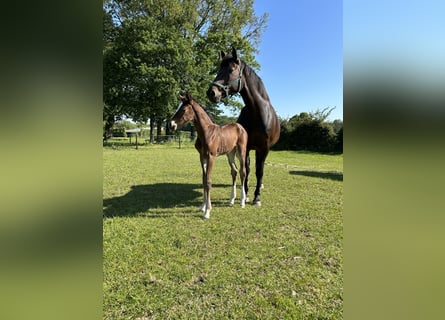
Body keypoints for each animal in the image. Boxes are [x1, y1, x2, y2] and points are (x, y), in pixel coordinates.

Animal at [168, 91, 248, 219]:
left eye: (184, 109)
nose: (171, 124)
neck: (207, 133)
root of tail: (240, 127)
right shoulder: (202, 157)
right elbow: (204, 180)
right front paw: (203, 206)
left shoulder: (211, 156)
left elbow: (209, 181)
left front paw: (207, 212)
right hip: (230, 153)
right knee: (234, 171)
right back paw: (231, 200)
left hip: (241, 151)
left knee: (243, 172)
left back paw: (242, 201)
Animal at [207, 48, 278, 206]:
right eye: (219, 69)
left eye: (231, 69)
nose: (211, 92)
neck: (257, 113)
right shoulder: (245, 147)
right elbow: (246, 169)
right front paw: (245, 195)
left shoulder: (263, 148)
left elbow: (259, 171)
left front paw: (257, 197)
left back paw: (260, 186)